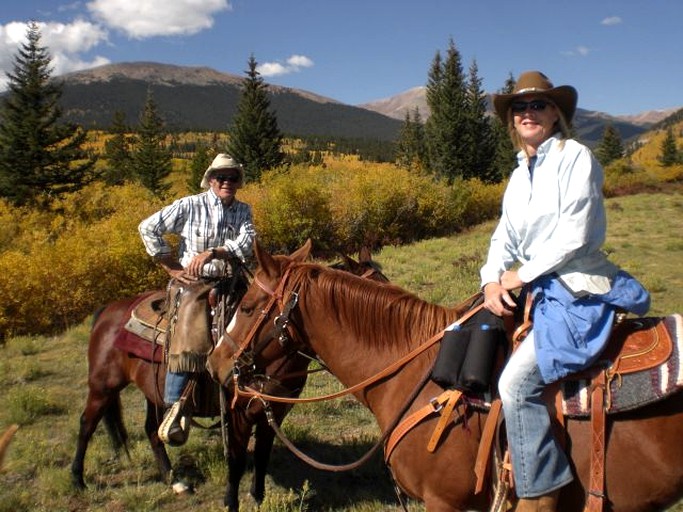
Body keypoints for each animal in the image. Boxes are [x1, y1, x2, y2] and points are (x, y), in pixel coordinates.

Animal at [69, 246, 390, 510]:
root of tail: (107, 311)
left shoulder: (274, 412)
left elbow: (261, 455)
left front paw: (258, 497)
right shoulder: (237, 414)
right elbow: (236, 460)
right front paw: (231, 501)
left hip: (153, 393)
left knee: (152, 430)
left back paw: (174, 481)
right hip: (103, 386)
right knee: (87, 425)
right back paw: (77, 480)